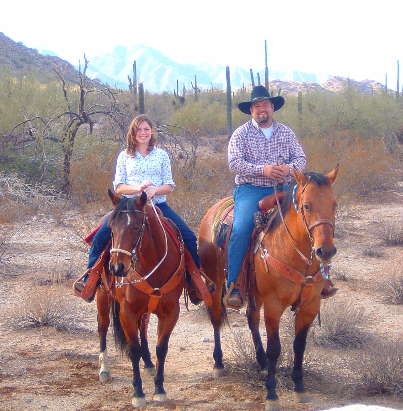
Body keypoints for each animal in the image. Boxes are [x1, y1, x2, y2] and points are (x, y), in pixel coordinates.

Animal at [96, 190, 186, 408]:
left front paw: (160, 389)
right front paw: (138, 393)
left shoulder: (171, 312)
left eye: (136, 227)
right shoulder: (127, 312)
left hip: (144, 310)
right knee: (102, 327)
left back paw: (149, 363)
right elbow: (133, 349)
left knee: (143, 329)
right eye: (111, 227)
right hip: (102, 296)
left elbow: (161, 348)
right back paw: (104, 369)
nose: (117, 267)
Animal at [200, 166, 340, 410]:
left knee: (252, 320)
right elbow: (276, 348)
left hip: (255, 293)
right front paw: (272, 394)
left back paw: (262, 362)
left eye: (334, 205)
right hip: (216, 286)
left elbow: (299, 345)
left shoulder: (310, 305)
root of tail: (213, 209)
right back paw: (219, 364)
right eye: (307, 206)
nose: (326, 251)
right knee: (216, 319)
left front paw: (299, 387)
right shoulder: (274, 306)